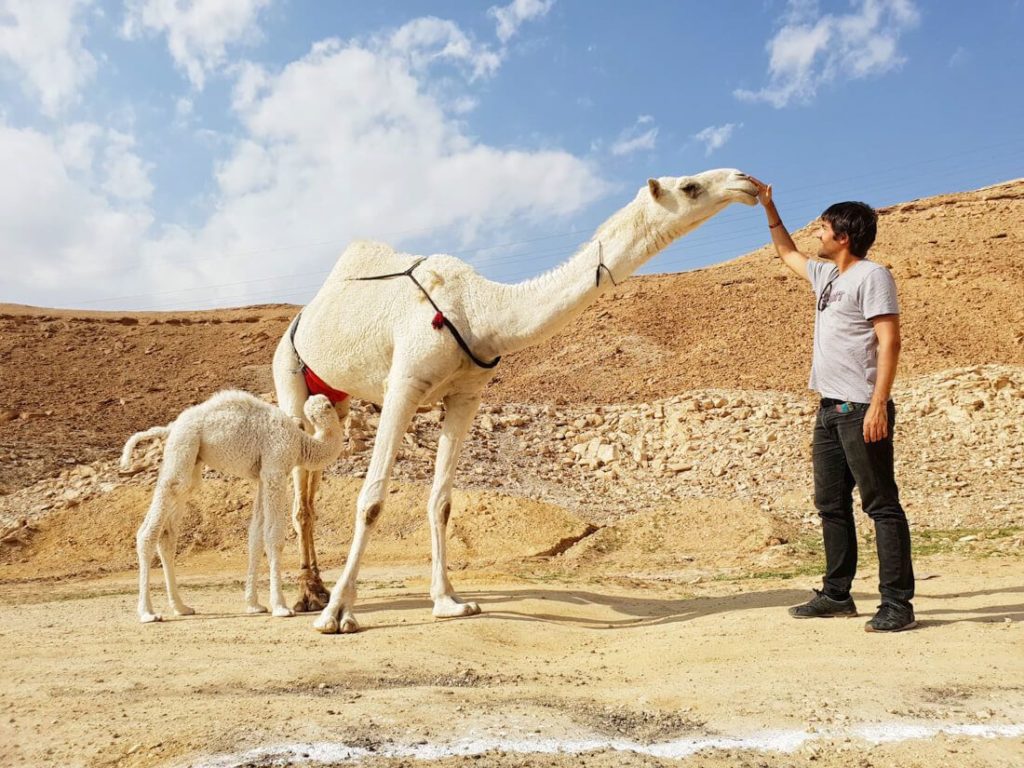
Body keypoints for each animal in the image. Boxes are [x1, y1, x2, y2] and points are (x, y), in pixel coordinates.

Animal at [119, 391, 344, 626]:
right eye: (329, 406)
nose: (337, 407)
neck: (301, 442)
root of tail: (170, 428)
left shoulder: (263, 476)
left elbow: (256, 536)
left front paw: (254, 605)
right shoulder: (275, 469)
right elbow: (274, 536)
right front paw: (280, 607)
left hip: (191, 461)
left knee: (168, 532)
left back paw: (182, 607)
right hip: (183, 448)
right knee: (149, 529)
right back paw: (148, 613)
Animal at [274, 169, 761, 638]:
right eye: (690, 186)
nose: (747, 181)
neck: (479, 312)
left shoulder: (466, 394)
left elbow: (442, 502)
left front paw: (449, 602)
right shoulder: (404, 384)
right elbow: (372, 500)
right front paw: (339, 614)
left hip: (336, 399)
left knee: (315, 476)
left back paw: (314, 589)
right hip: (289, 375)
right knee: (299, 485)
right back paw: (307, 599)